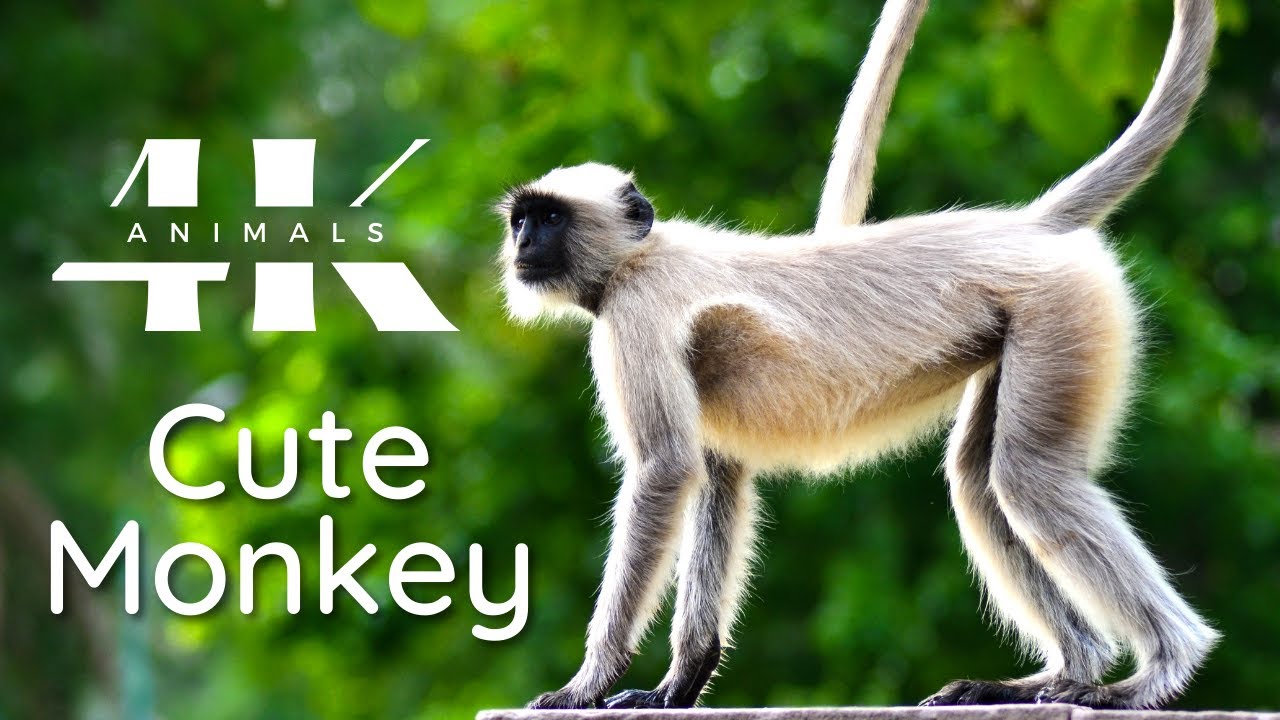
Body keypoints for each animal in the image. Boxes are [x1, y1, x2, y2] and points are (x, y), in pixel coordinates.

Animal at [497, 0, 1218, 711]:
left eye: (551, 219)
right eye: (522, 219)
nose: (522, 244)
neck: (641, 256)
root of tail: (1024, 227)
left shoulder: (635, 314)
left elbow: (666, 470)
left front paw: (587, 684)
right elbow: (719, 472)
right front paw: (680, 682)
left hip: (1061, 312)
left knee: (1030, 478)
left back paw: (1156, 673)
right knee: (979, 480)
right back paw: (1065, 674)